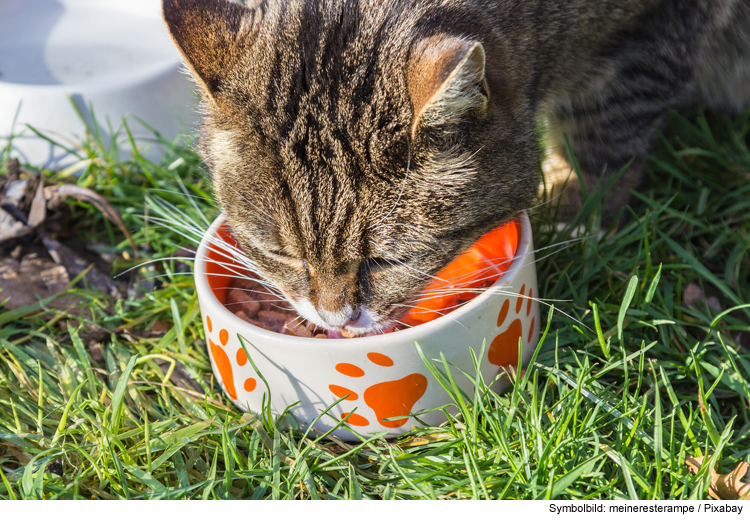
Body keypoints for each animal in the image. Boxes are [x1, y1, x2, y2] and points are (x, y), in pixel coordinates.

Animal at [163, 1, 750, 334]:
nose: (334, 319)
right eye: (281, 254)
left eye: (387, 260)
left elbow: (604, 133)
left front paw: (578, 215)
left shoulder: (651, 36)